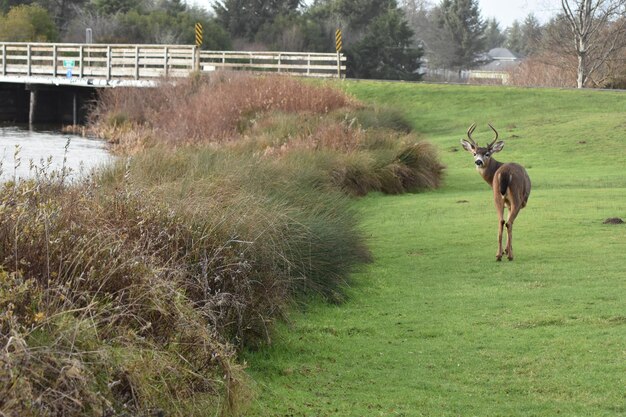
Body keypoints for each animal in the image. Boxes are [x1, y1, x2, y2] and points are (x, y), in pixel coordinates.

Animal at [458, 122, 532, 260]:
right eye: (474, 153)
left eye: (487, 153)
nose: (478, 161)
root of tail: (504, 173)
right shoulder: (511, 203)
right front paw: (508, 250)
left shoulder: (505, 202)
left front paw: (504, 250)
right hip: (516, 197)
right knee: (509, 222)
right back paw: (509, 255)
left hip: (497, 196)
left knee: (501, 221)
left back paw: (498, 255)